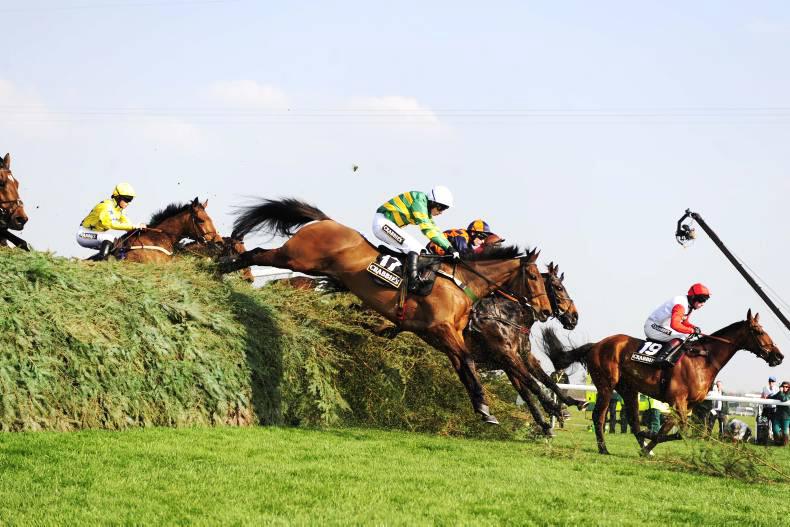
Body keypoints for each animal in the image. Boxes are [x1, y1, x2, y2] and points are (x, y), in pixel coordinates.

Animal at [219, 197, 553, 425]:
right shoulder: (443, 331)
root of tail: (326, 221)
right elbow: (473, 363)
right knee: (257, 253)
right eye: (534, 277)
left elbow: (465, 367)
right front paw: (498, 409)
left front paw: (484, 408)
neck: (462, 283)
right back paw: (221, 265)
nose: (545, 311)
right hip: (297, 258)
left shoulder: (448, 338)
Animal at [543, 309, 783, 454]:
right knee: (599, 416)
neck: (704, 359)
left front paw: (646, 447)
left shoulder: (687, 404)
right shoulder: (678, 400)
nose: (778, 356)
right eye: (759, 331)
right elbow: (677, 430)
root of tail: (596, 345)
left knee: (633, 420)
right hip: (606, 386)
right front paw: (648, 442)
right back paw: (603, 448)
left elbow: (671, 428)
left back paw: (640, 441)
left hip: (628, 389)